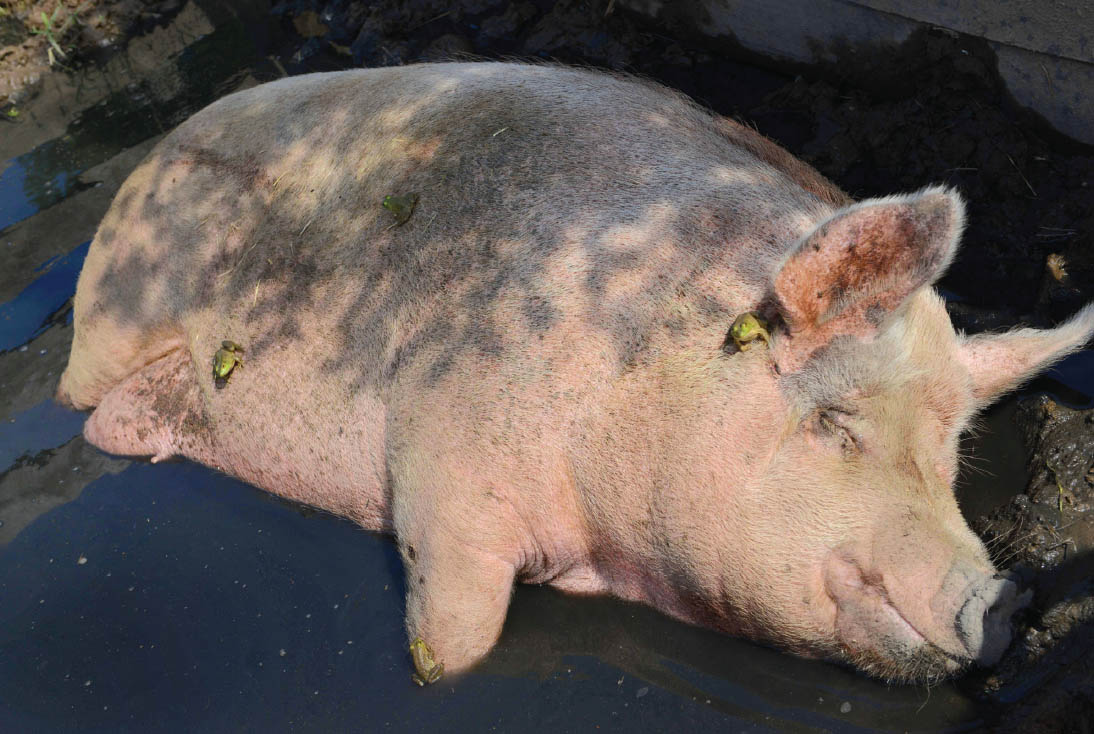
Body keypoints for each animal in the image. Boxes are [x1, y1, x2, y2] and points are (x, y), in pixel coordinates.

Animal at [57, 61, 1094, 682]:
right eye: (835, 425)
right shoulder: (445, 455)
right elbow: (458, 630)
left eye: (951, 454)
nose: (1002, 597)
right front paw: (436, 671)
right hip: (115, 316)